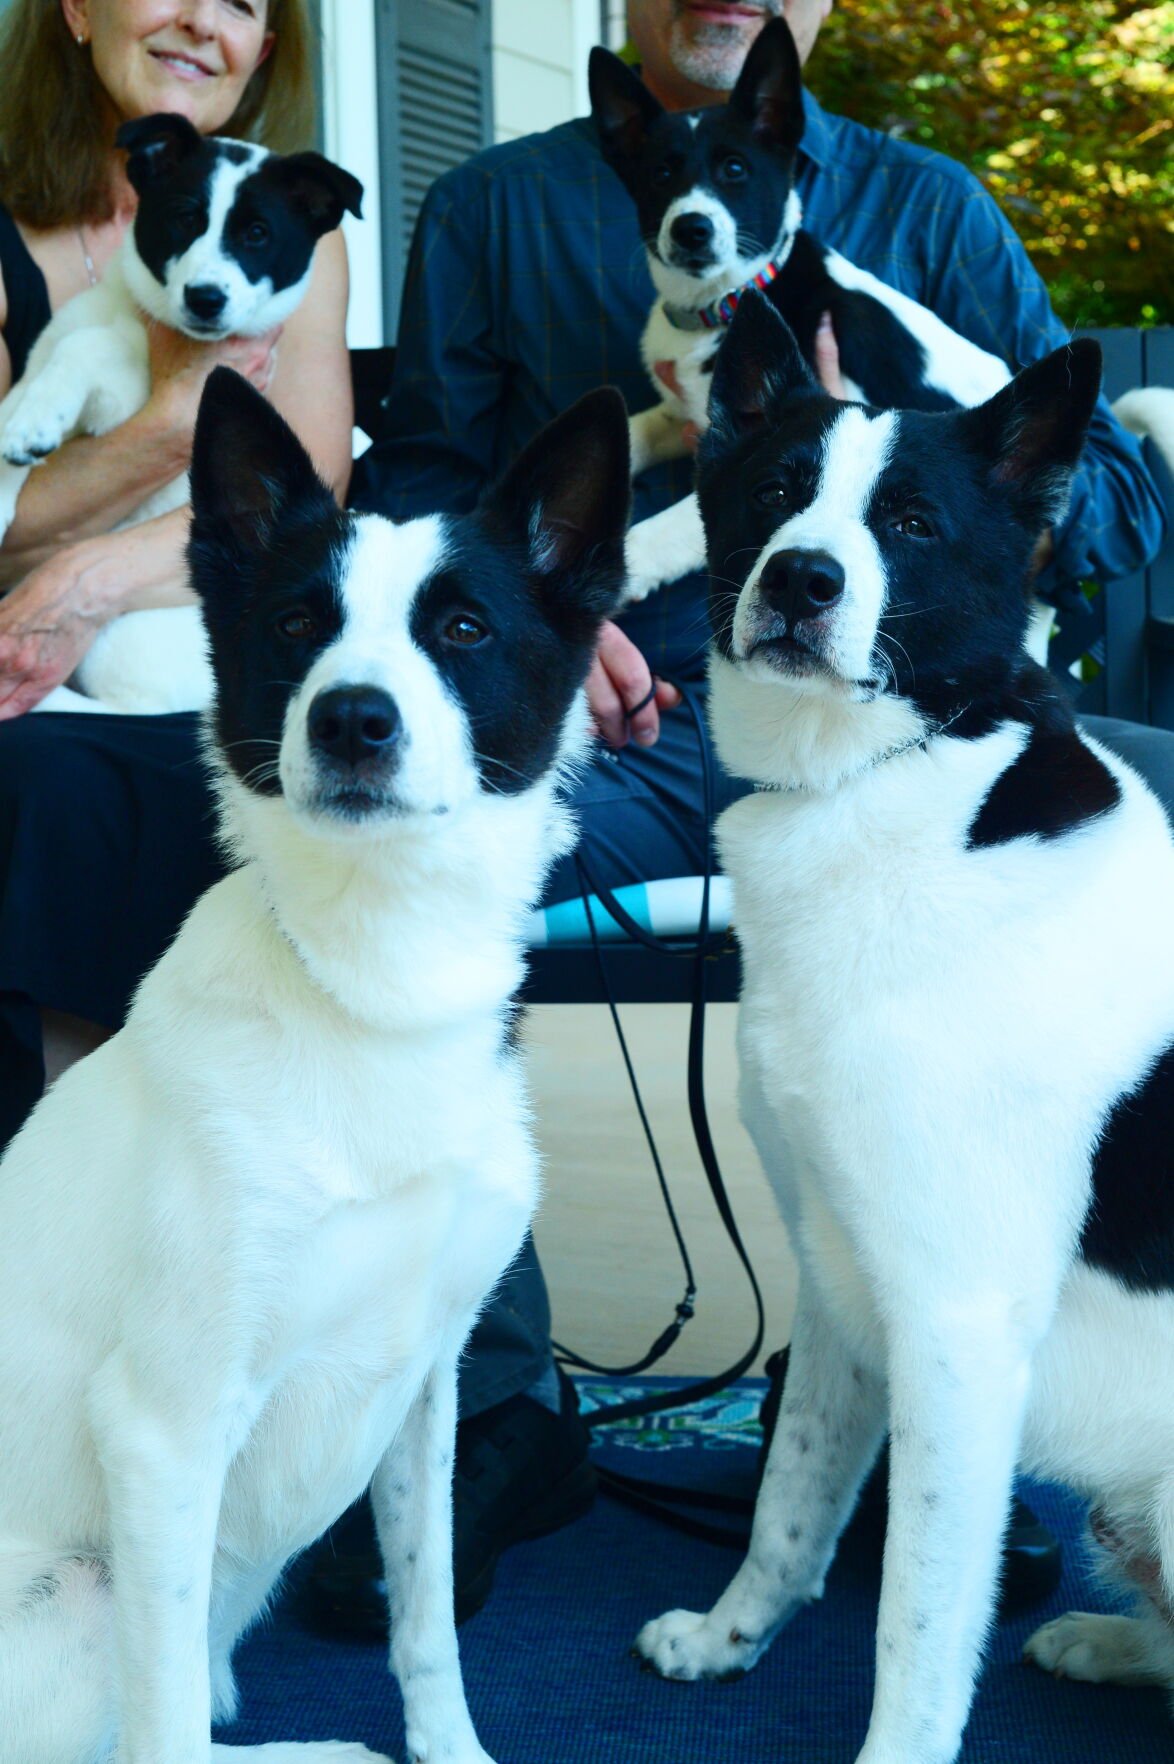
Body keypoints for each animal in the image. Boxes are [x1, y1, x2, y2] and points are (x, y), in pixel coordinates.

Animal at [0, 113, 361, 716]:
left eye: (257, 234)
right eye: (185, 219)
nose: (205, 298)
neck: (135, 317)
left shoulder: (122, 392)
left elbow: (87, 348)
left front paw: (37, 421)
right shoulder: (39, 367)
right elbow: (21, 395)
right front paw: (23, 435)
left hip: (115, 644)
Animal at [0, 368, 631, 1764]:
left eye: (462, 628)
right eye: (297, 623)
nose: (352, 719)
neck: (372, 992)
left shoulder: (425, 1392)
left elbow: (427, 1626)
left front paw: (450, 1753)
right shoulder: (166, 1433)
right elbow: (168, 1725)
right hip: (78, 1599)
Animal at [631, 289, 1170, 1764]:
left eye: (913, 523)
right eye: (774, 494)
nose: (801, 583)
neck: (889, 785)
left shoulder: (957, 1330)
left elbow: (917, 1629)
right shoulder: (839, 1277)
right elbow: (789, 1503)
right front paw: (731, 1640)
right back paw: (1109, 1642)